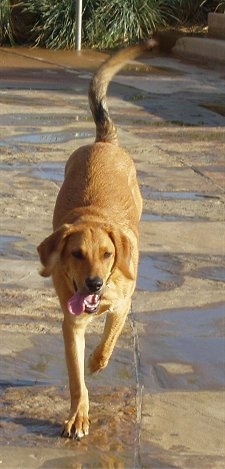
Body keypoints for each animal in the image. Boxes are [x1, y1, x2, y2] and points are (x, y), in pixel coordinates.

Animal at [37, 37, 158, 438]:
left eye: (108, 254)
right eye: (75, 254)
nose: (93, 285)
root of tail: (104, 142)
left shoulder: (121, 306)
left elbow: (107, 345)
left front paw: (96, 362)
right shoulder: (71, 324)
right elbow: (77, 380)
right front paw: (79, 416)